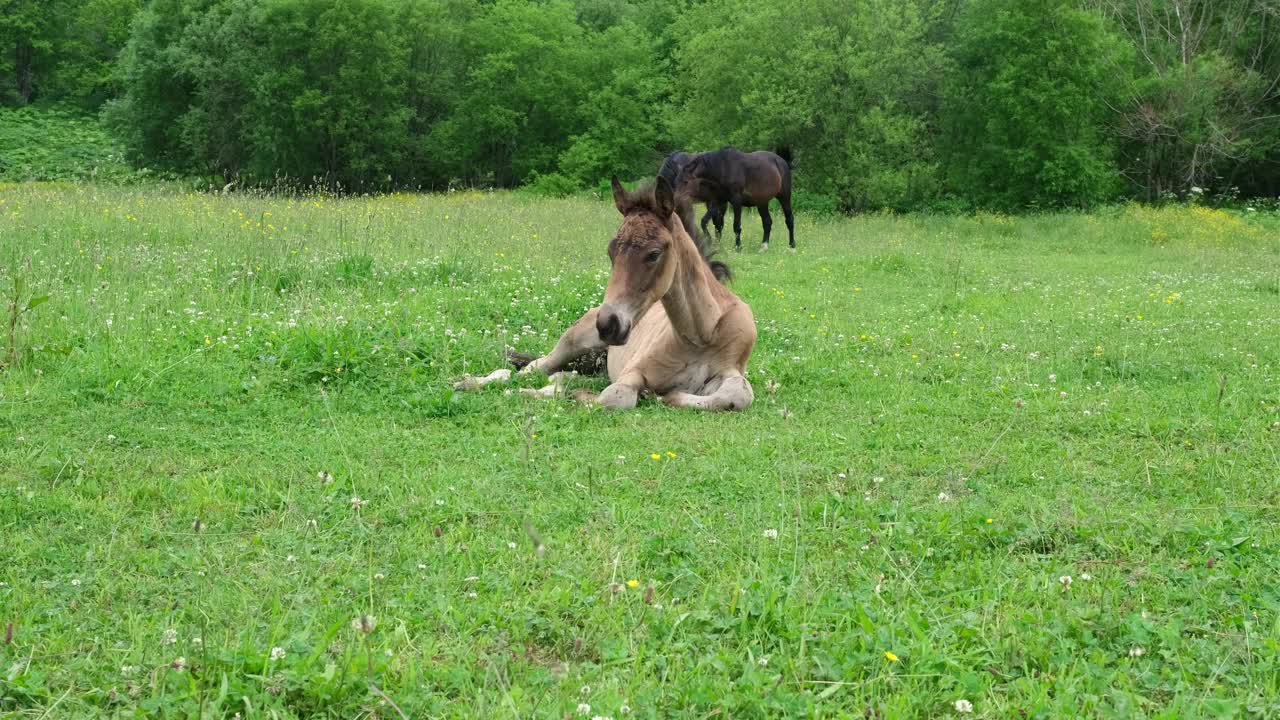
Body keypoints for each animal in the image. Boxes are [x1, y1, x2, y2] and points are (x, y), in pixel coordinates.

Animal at [458, 174, 752, 409]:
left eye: (654, 254)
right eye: (611, 252)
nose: (609, 325)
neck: (701, 334)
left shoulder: (731, 370)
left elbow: (738, 395)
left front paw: (665, 396)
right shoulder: (633, 371)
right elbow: (615, 396)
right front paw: (570, 395)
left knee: (560, 375)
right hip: (574, 340)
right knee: (530, 369)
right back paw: (471, 383)